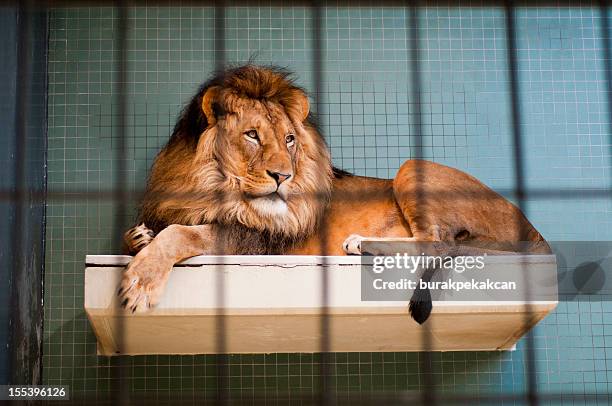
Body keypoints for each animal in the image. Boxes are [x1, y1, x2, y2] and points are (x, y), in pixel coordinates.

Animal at [116, 64, 548, 324]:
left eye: (289, 140)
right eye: (252, 135)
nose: (283, 176)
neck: (209, 186)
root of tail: (532, 229)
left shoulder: (250, 242)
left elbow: (182, 233)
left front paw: (140, 283)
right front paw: (140, 236)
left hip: (411, 167)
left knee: (436, 242)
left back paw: (360, 244)